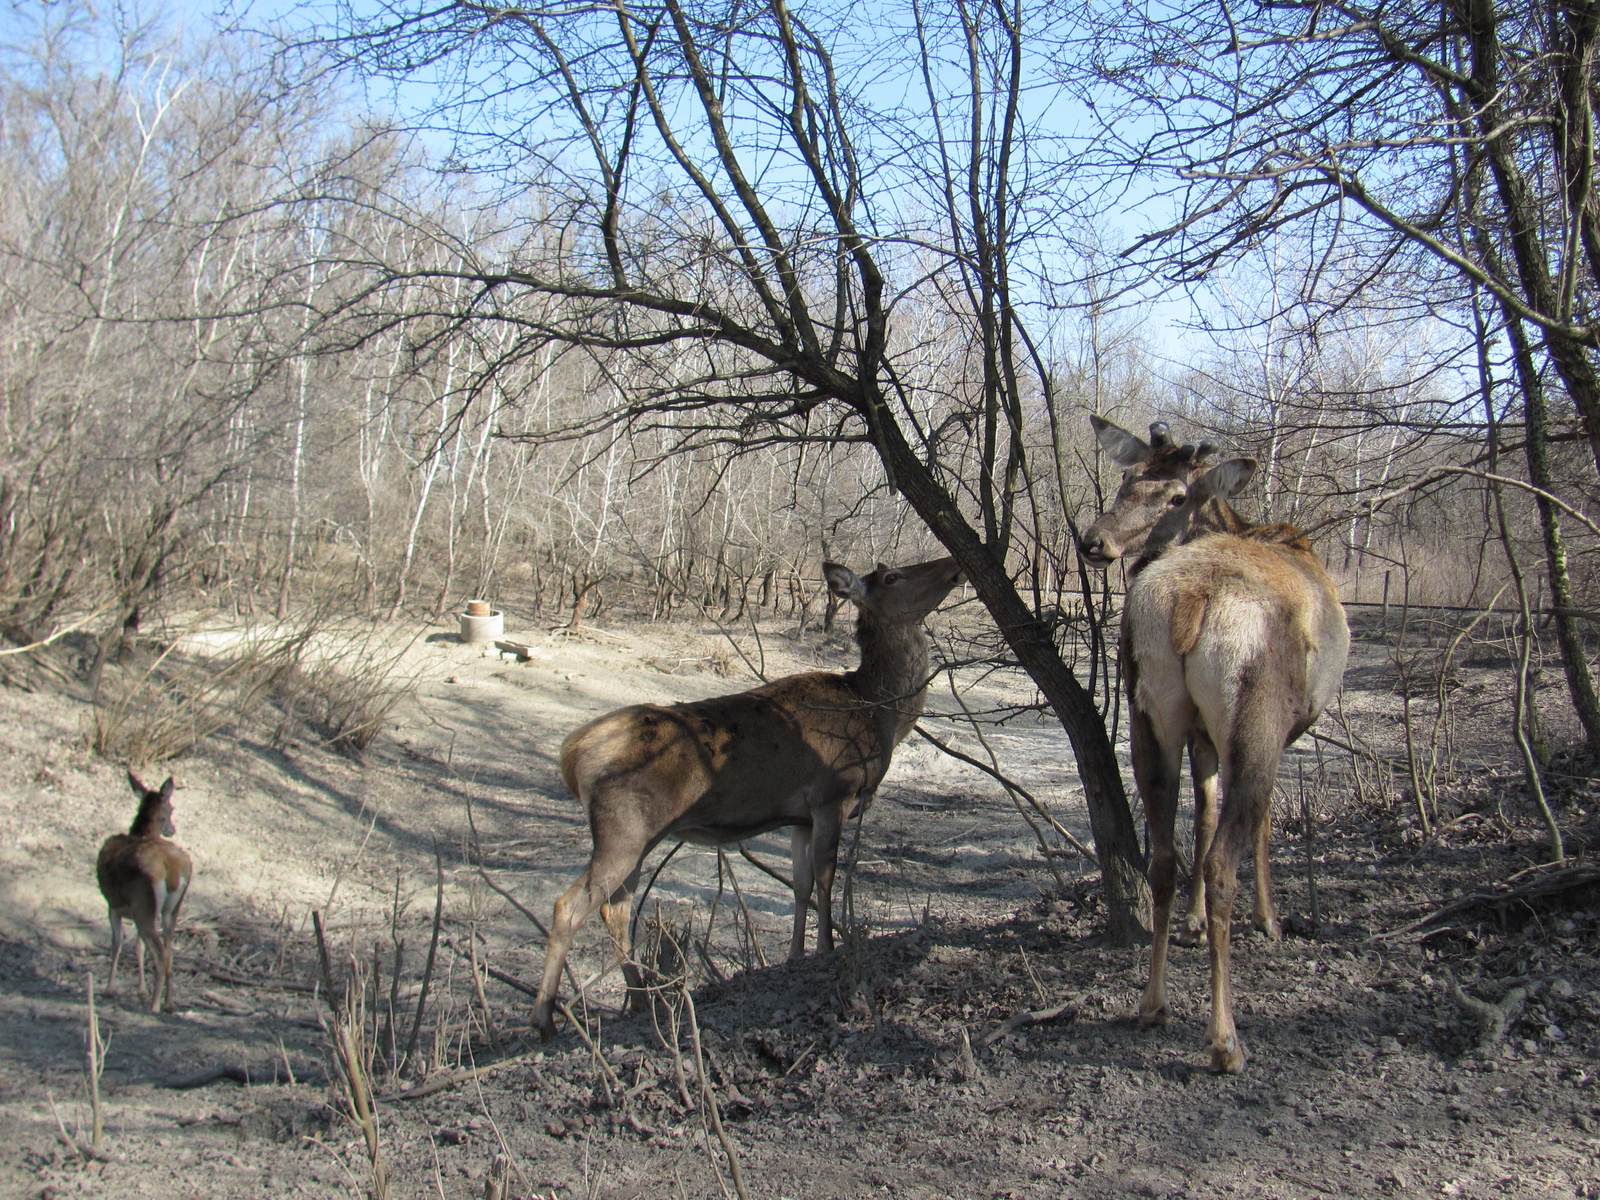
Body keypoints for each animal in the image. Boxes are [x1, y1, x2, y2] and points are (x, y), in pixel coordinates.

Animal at [95, 771, 193, 1017]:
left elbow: (116, 943)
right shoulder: (134, 910)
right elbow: (138, 948)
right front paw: (141, 991)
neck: (140, 832)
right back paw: (168, 1003)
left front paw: (110, 988)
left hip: (145, 906)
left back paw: (155, 1005)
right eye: (171, 808)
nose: (172, 829)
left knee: (160, 954)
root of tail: (171, 869)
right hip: (169, 910)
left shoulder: (113, 905)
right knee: (169, 951)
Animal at [534, 560, 960, 1036]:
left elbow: (800, 884)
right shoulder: (833, 794)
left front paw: (794, 955)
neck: (879, 714)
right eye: (893, 577)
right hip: (622, 829)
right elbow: (826, 877)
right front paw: (826, 949)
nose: (953, 565)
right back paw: (544, 1019)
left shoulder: (800, 817)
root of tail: (572, 754)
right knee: (569, 906)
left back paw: (641, 1002)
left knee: (617, 909)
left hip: (638, 838)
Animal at [1075, 419, 1350, 1075]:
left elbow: (1201, 815)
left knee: (1163, 857)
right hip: (1254, 714)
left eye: (1176, 495)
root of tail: (1188, 602)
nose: (1093, 541)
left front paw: (1193, 924)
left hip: (1149, 713)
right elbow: (1261, 821)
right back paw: (1224, 1038)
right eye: (1127, 478)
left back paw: (1153, 1003)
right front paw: (1269, 919)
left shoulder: (1200, 733)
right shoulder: (1284, 729)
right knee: (1227, 857)